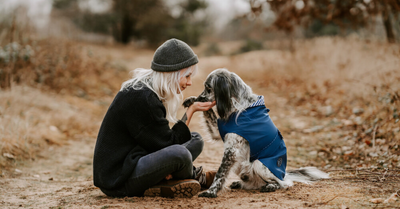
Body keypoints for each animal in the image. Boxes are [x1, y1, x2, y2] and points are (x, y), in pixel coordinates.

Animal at [183, 68, 330, 198]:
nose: (199, 98)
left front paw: (211, 192)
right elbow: (208, 112)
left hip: (259, 164)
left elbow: (220, 174)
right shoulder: (217, 132)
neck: (239, 106)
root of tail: (283, 174)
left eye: (208, 88)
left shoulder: (231, 150)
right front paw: (191, 100)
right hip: (241, 163)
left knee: (285, 183)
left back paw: (271, 186)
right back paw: (240, 183)